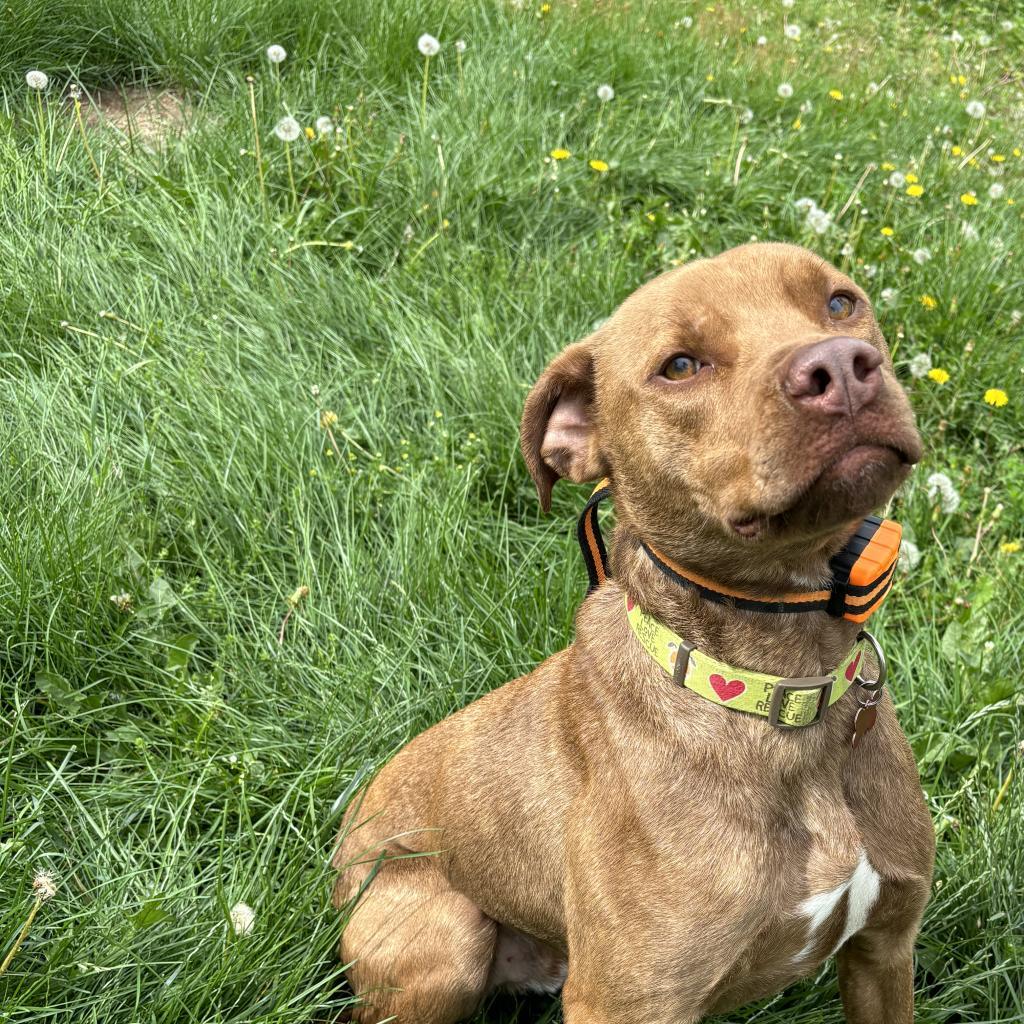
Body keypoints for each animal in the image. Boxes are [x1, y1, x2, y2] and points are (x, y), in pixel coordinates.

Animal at [329, 243, 937, 1019]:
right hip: (446, 943)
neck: (777, 687)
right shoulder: (628, 1001)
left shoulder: (886, 950)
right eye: (679, 366)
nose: (842, 366)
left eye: (839, 302)